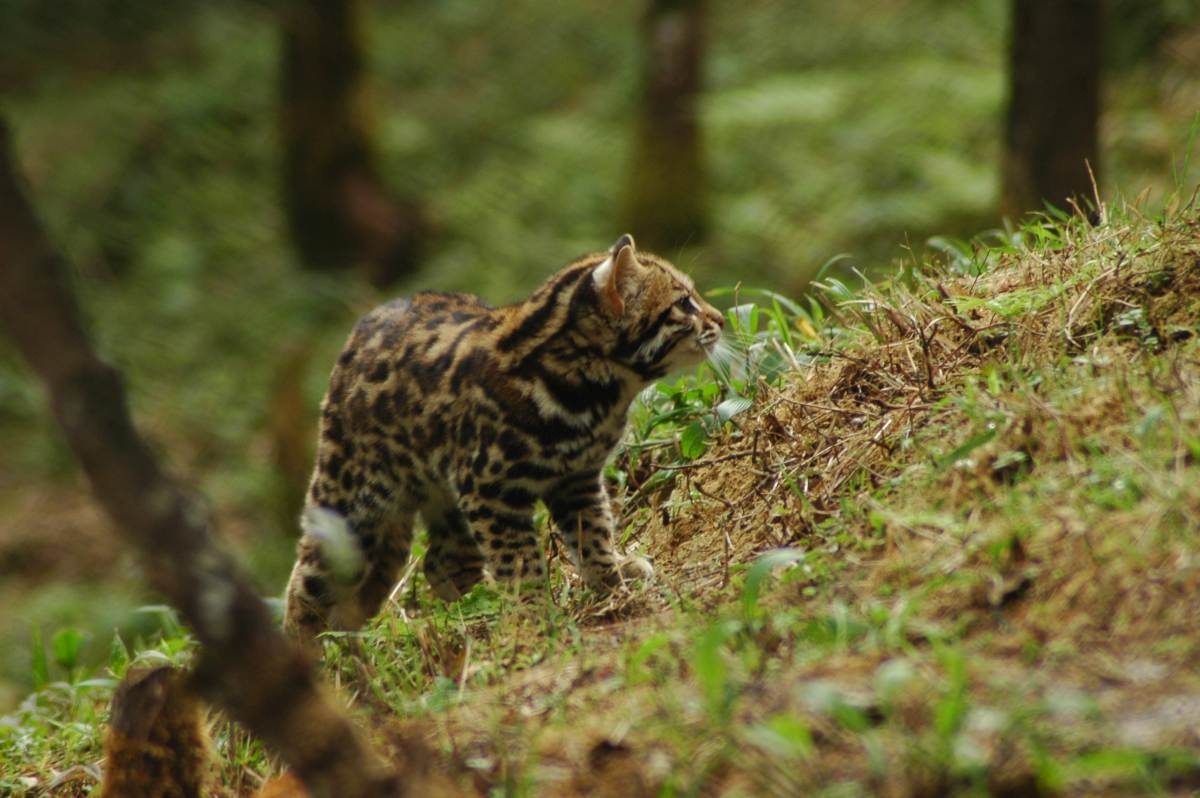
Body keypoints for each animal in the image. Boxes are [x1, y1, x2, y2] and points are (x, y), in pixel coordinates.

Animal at [285, 234, 724, 638]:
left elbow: (593, 535)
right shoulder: (492, 491)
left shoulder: (577, 479)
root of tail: (358, 331)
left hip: (446, 503)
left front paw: (612, 583)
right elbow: (520, 560)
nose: (720, 319)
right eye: (684, 303)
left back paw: (476, 610)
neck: (598, 392)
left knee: (441, 563)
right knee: (304, 584)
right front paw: (536, 616)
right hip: (351, 505)